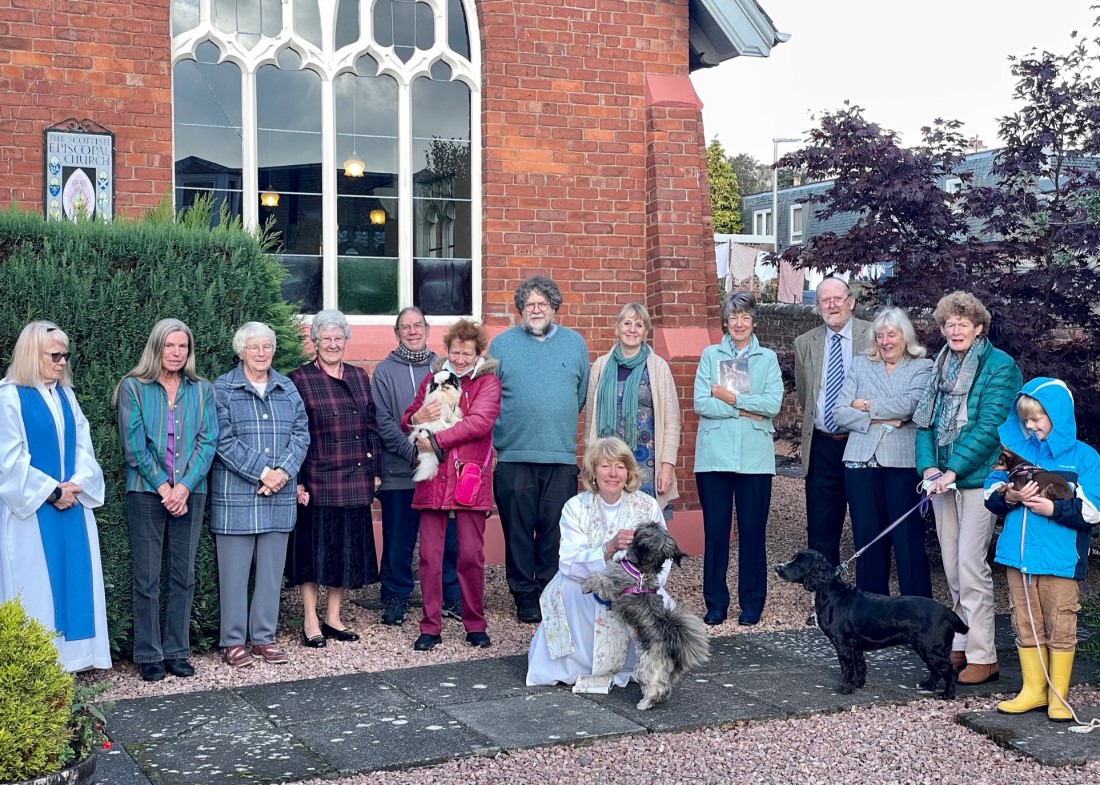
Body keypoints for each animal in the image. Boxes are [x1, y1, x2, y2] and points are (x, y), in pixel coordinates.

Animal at [585, 518, 712, 708]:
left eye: (649, 528)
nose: (652, 521)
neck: (642, 570)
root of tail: (672, 644)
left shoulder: (610, 583)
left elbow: (597, 578)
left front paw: (586, 585)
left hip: (646, 667)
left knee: (655, 686)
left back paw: (645, 703)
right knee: (665, 686)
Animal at [770, 547, 968, 694]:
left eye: (798, 561)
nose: (776, 567)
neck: (830, 591)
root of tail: (947, 612)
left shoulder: (843, 643)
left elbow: (847, 668)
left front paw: (846, 688)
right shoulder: (855, 645)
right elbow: (860, 666)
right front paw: (858, 684)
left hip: (932, 647)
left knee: (951, 671)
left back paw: (947, 695)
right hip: (925, 647)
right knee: (936, 669)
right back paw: (928, 686)